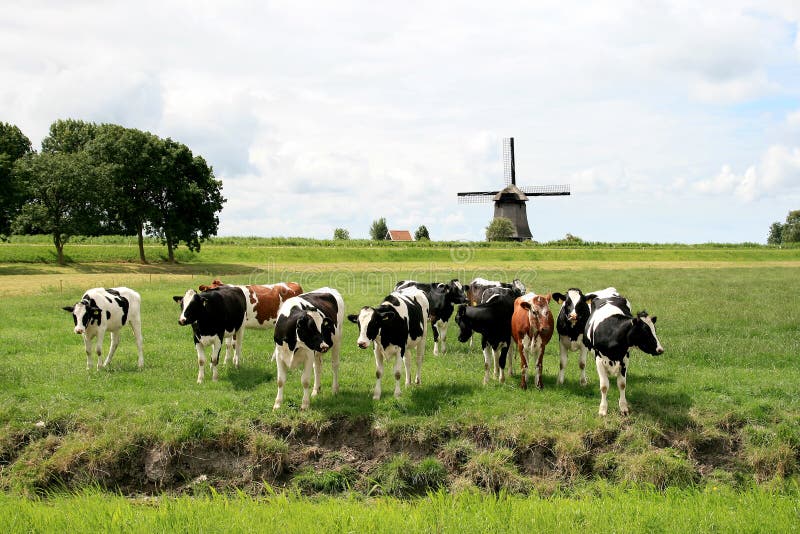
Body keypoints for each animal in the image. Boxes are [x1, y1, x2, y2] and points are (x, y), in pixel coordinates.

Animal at [580, 288, 664, 418]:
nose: (660, 349)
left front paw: (624, 408)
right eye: (645, 331)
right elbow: (604, 386)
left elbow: (622, 384)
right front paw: (603, 409)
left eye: (654, 329)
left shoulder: (624, 359)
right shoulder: (599, 359)